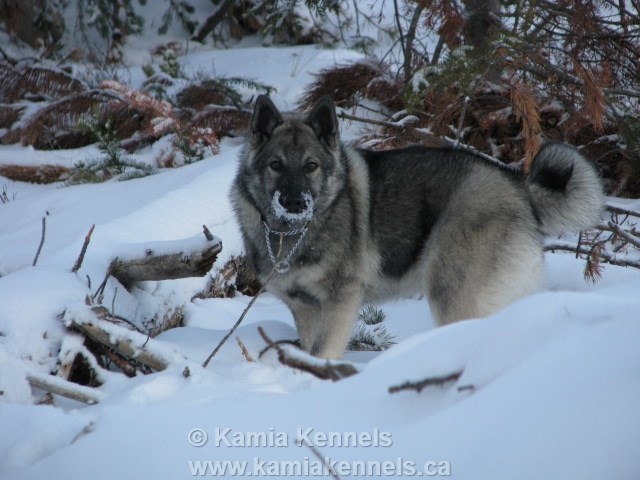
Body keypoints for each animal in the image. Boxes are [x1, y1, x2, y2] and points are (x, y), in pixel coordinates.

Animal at [231, 94, 604, 356]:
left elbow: (323, 353)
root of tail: (518, 186)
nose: (295, 203)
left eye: (311, 166)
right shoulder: (304, 308)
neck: (291, 234)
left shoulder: (341, 301)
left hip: (449, 290)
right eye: (276, 165)